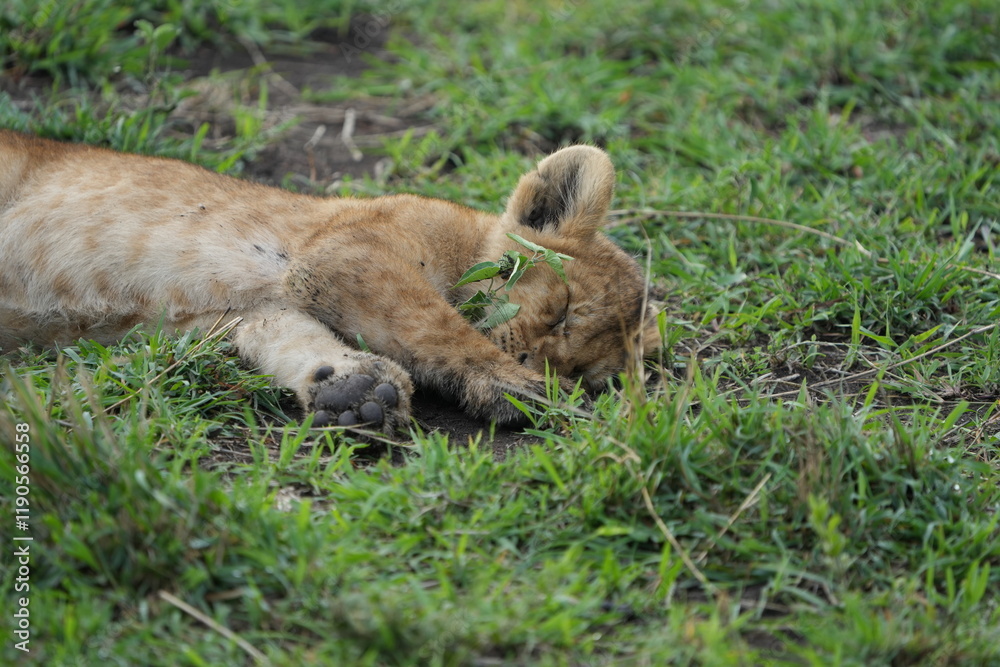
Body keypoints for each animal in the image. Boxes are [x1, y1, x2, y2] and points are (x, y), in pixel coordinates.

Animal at [0, 130, 659, 432]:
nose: (543, 364)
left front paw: (355, 389)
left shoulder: (245, 312)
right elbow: (433, 324)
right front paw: (516, 386)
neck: (466, 240)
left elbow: (291, 337)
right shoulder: (350, 250)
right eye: (563, 309)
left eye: (588, 370)